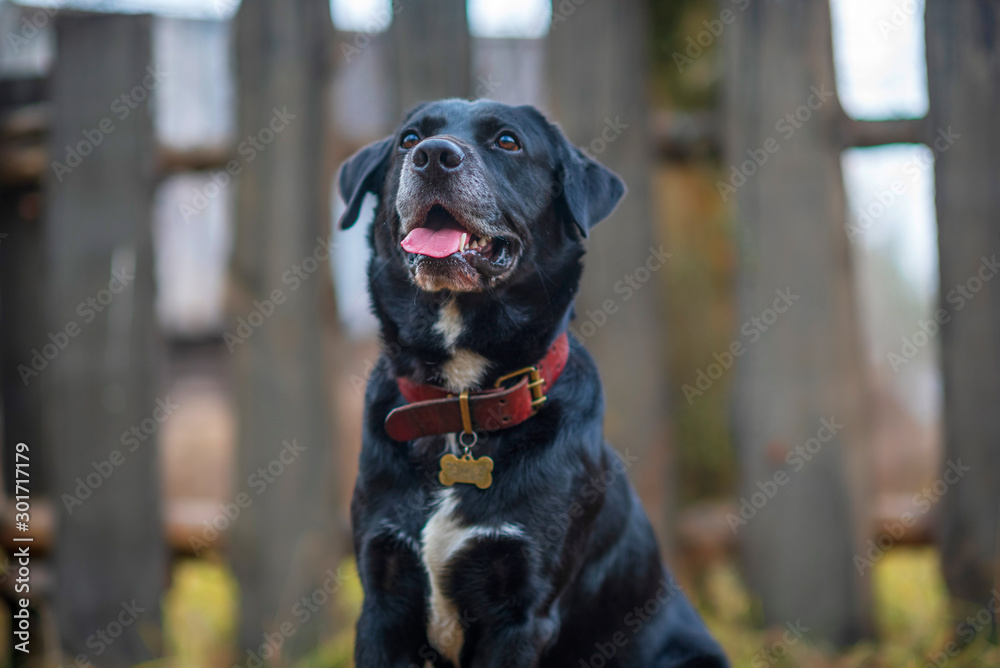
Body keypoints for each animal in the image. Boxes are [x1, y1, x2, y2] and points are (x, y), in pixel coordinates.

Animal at [340, 100, 724, 668]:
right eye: (408, 139)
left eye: (507, 141)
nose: (433, 155)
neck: (463, 404)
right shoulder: (381, 598)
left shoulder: (522, 612)